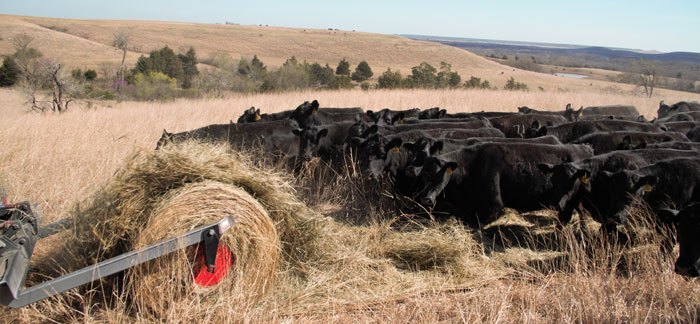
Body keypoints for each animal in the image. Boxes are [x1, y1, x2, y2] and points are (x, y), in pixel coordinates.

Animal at [412, 143, 592, 227]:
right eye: (424, 175)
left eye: (440, 175)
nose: (426, 198)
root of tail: (583, 147)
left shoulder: (494, 206)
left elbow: (475, 223)